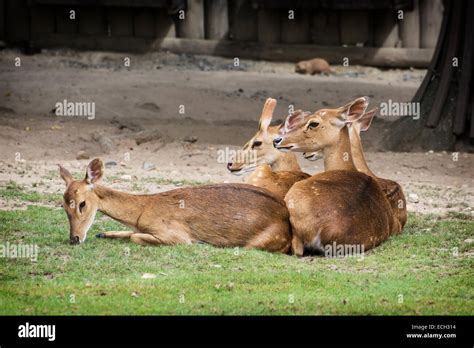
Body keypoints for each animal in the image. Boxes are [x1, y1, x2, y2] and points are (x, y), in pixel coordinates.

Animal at [59, 158, 292, 253]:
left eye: (82, 204)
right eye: (63, 205)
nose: (74, 239)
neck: (142, 211)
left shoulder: (174, 233)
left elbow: (135, 237)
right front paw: (103, 233)